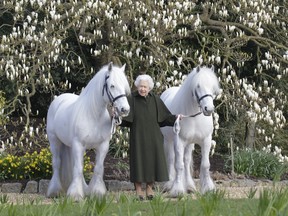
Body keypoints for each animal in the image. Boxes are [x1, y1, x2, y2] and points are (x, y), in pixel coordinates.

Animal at [46, 62, 130, 201]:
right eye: (112, 85)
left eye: (124, 86)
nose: (125, 109)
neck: (93, 115)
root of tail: (59, 98)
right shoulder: (79, 145)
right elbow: (78, 168)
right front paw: (75, 195)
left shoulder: (103, 146)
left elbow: (98, 168)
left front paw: (97, 193)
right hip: (54, 141)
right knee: (57, 163)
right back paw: (55, 191)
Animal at [161, 65, 219, 196]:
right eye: (198, 86)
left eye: (213, 87)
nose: (209, 109)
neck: (194, 117)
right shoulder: (179, 141)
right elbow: (178, 165)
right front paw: (177, 190)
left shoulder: (206, 140)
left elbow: (205, 165)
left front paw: (208, 188)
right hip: (168, 141)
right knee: (171, 159)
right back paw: (169, 184)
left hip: (189, 144)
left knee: (187, 161)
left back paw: (189, 186)